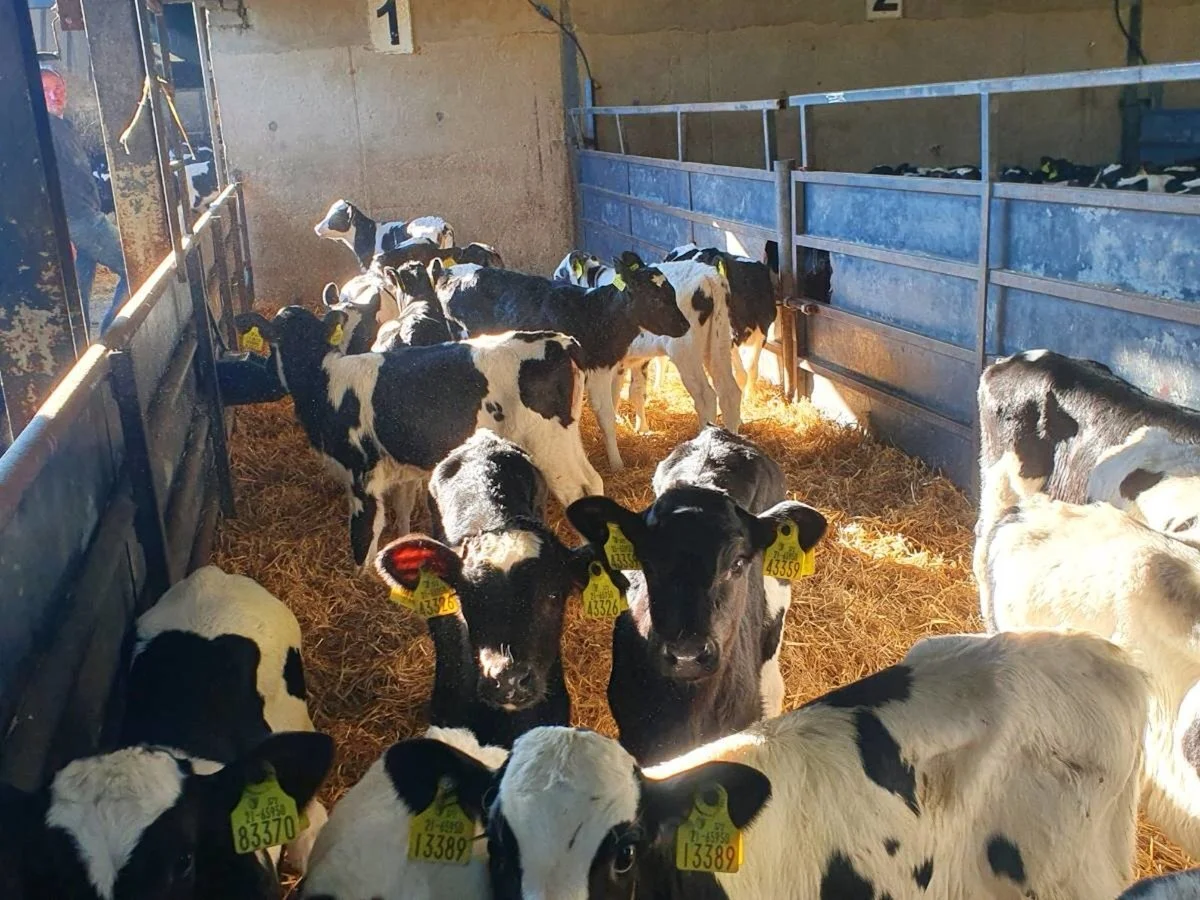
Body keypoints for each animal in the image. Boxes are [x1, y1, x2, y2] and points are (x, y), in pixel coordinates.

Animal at [233, 306, 603, 567]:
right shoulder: (399, 469)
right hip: (566, 438)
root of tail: (558, 340)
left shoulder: (360, 474)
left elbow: (365, 534)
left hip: (546, 443)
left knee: (574, 490)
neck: (323, 382)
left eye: (272, 342)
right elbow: (402, 511)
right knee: (593, 481)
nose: (266, 373)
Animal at [431, 258, 687, 471]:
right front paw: (616, 464)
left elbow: (614, 403)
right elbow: (605, 415)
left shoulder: (611, 366)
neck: (596, 314)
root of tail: (447, 273)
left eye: (673, 292)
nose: (685, 325)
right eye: (656, 298)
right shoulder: (597, 369)